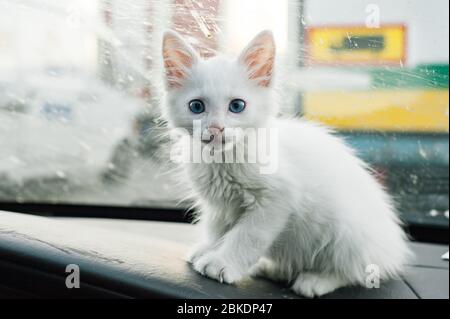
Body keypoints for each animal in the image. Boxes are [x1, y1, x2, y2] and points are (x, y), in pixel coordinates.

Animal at [161, 31, 412, 298]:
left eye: (237, 106)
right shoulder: (219, 205)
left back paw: (315, 280)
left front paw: (221, 262)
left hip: (349, 231)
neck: (223, 160)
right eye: (196, 106)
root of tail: (394, 249)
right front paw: (209, 248)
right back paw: (273, 269)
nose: (216, 129)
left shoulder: (277, 199)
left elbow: (248, 236)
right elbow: (216, 228)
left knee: (354, 271)